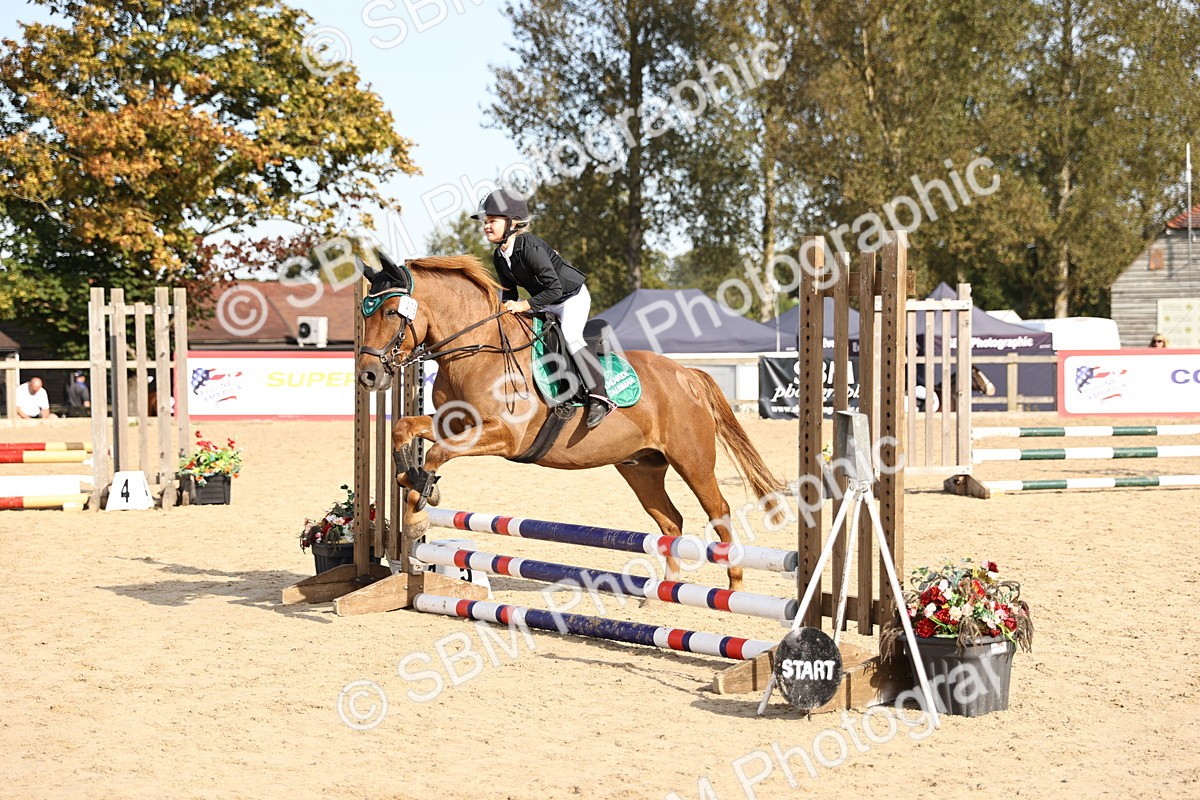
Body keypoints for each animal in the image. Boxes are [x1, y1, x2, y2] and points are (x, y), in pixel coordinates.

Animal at [354, 254, 786, 591]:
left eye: (391, 312)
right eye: (364, 313)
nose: (368, 377)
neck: (477, 351)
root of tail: (686, 374)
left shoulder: (504, 436)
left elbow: (437, 453)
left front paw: (418, 510)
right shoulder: (455, 422)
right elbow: (405, 429)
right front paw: (413, 483)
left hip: (692, 460)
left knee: (719, 511)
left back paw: (734, 586)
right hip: (641, 468)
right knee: (671, 520)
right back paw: (667, 588)